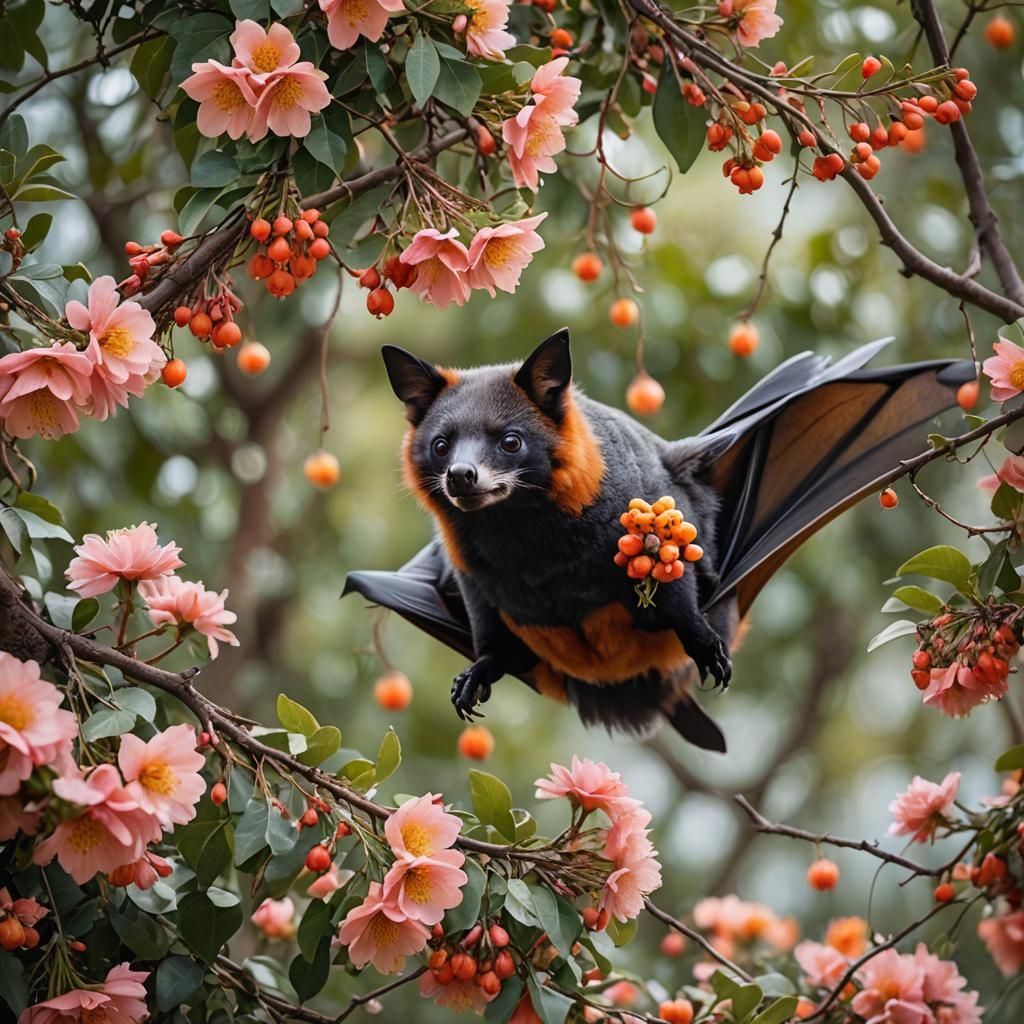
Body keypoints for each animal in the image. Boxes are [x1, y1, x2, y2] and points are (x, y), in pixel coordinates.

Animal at [344, 329, 972, 751]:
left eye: (510, 441)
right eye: (441, 444)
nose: (462, 476)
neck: (529, 547)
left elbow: (681, 600)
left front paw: (706, 648)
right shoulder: (469, 580)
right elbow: (491, 642)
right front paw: (475, 675)